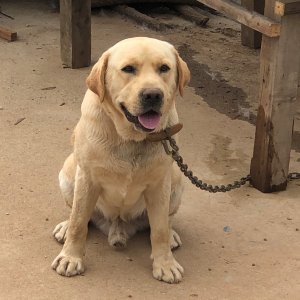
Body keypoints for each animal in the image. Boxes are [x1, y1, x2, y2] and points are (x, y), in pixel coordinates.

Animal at [50, 36, 189, 282]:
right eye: (128, 69)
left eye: (164, 68)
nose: (153, 95)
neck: (131, 139)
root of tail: (118, 226)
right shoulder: (87, 178)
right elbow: (78, 223)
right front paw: (70, 257)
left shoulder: (159, 185)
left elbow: (160, 229)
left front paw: (165, 263)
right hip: (67, 173)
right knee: (76, 213)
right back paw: (65, 227)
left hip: (176, 182)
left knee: (166, 221)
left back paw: (172, 235)